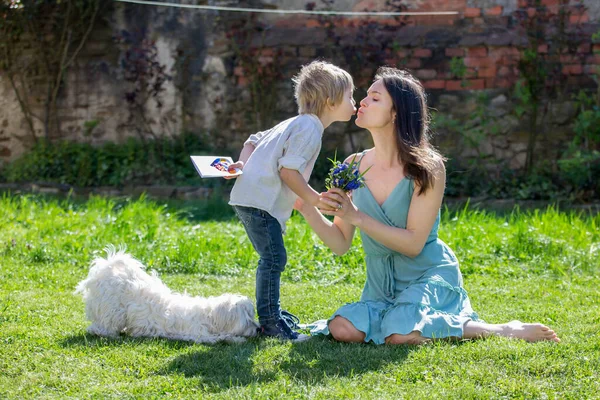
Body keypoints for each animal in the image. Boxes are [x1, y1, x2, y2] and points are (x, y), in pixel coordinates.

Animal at [74, 247, 258, 344]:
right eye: (248, 320)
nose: (258, 328)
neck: (208, 316)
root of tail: (108, 269)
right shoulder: (196, 334)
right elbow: (219, 336)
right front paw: (236, 339)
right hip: (113, 310)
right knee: (101, 325)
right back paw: (104, 332)